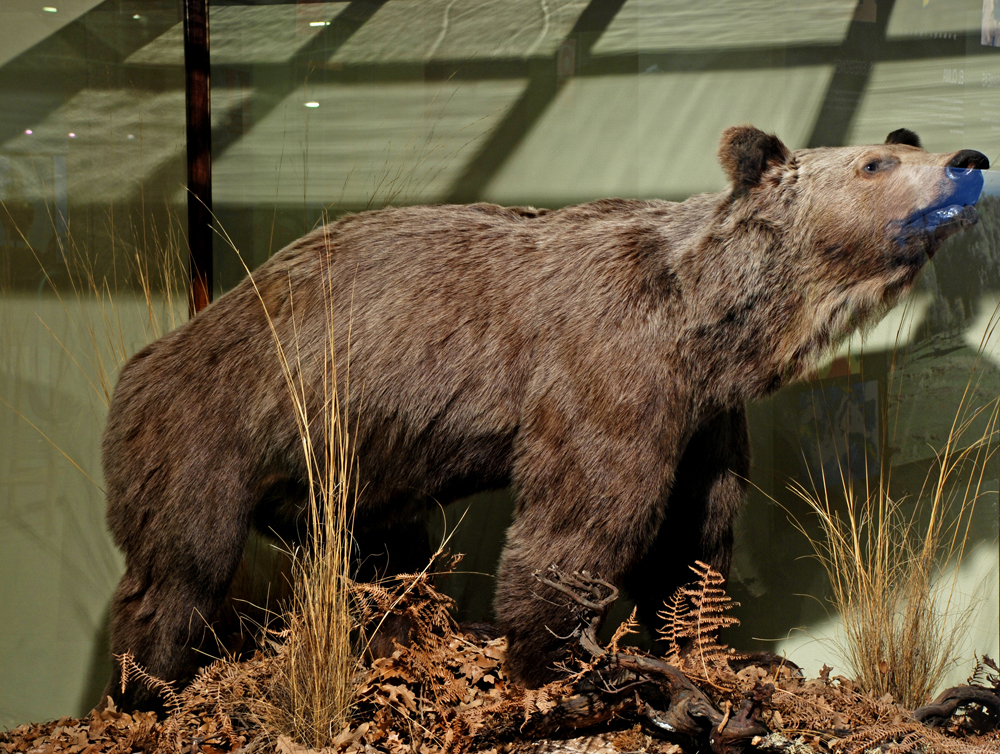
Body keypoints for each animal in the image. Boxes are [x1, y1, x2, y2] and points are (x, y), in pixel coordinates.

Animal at [99, 123, 984, 704]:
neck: (701, 322)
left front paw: (743, 657)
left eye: (909, 141)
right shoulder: (605, 371)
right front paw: (560, 660)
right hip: (210, 436)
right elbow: (581, 516)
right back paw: (150, 687)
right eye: (876, 161)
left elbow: (693, 541)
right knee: (177, 572)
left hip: (351, 478)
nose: (970, 162)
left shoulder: (701, 417)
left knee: (373, 560)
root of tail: (148, 357)